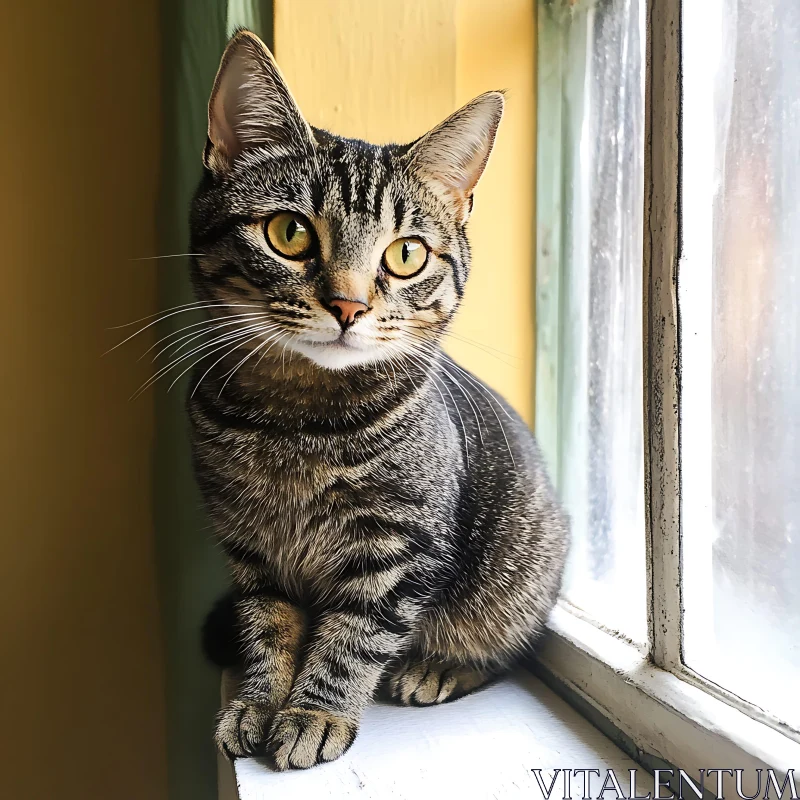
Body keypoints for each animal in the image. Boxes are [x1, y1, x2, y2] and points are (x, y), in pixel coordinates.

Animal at [192, 29, 568, 768]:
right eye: (289, 234)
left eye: (406, 255)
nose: (348, 304)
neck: (297, 422)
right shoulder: (248, 546)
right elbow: (267, 627)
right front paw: (258, 700)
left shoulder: (399, 546)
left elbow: (351, 640)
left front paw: (315, 712)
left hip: (518, 574)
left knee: (509, 644)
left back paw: (439, 666)